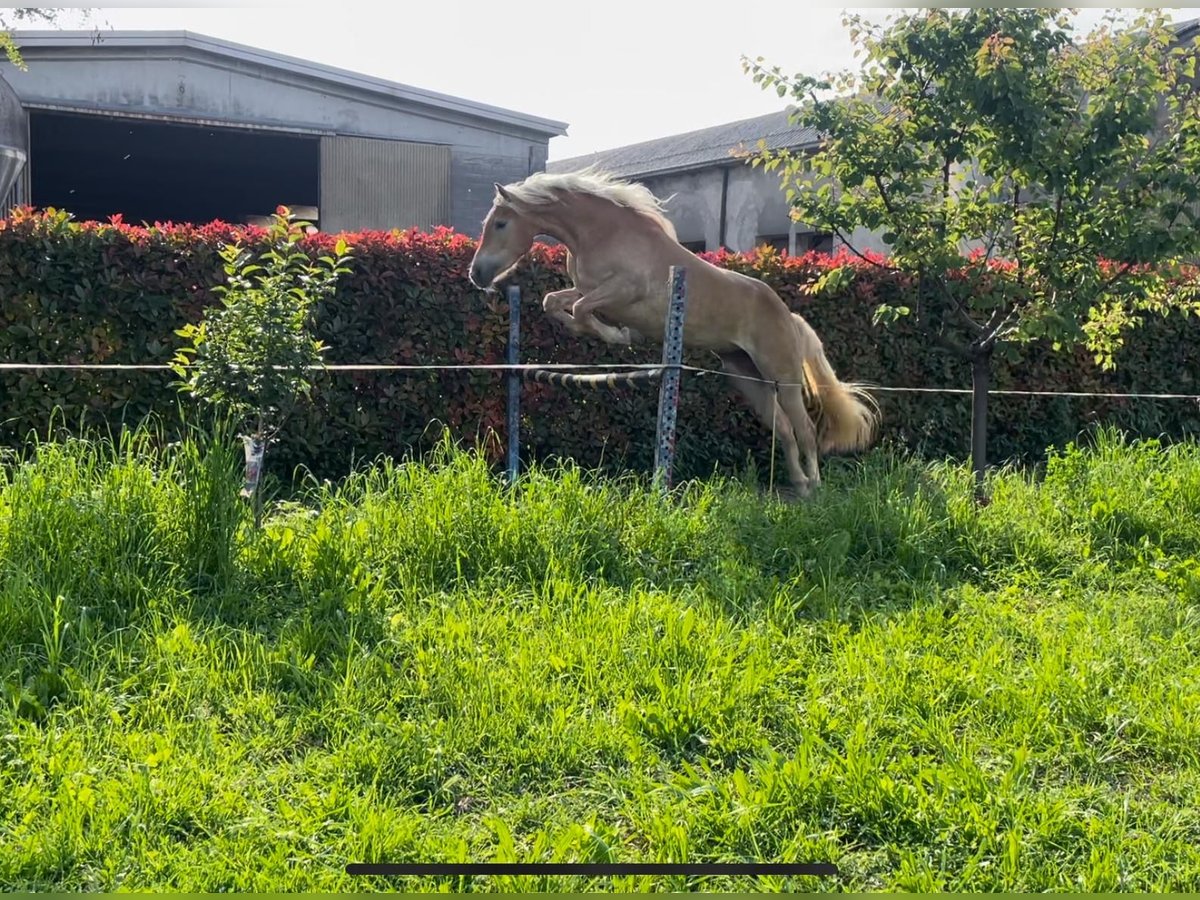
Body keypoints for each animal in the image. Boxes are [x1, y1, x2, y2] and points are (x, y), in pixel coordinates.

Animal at [463, 165, 878, 496]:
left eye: (500, 223)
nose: (476, 274)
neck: (601, 233)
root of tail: (788, 315)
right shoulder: (588, 290)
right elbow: (555, 302)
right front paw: (613, 333)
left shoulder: (622, 291)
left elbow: (581, 309)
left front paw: (622, 337)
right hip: (746, 376)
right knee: (785, 430)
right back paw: (798, 485)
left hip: (783, 375)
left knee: (805, 429)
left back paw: (815, 486)